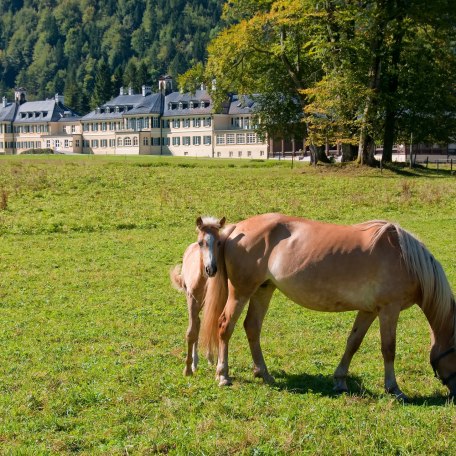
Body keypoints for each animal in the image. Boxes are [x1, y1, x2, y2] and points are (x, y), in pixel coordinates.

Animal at [198, 214, 456, 400]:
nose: (455, 395)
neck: (405, 259)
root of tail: (235, 229)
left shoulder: (369, 310)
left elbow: (353, 343)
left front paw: (340, 380)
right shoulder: (388, 310)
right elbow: (389, 349)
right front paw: (394, 389)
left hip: (264, 289)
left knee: (252, 327)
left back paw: (264, 373)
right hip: (241, 292)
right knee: (225, 326)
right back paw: (223, 375)